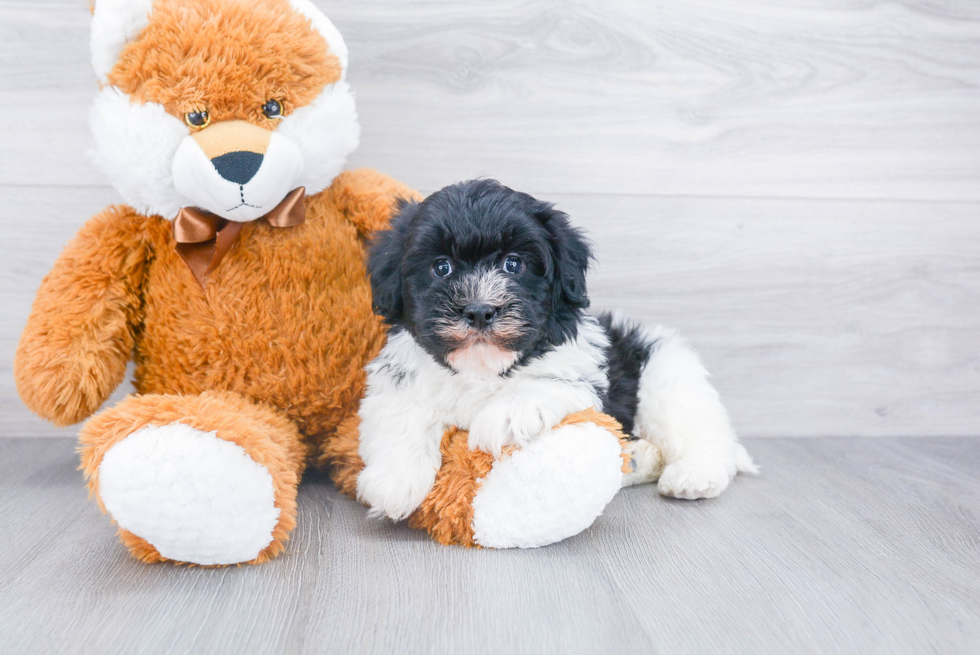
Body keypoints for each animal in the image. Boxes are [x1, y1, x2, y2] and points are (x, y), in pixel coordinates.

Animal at [356, 179, 756, 524]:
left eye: (513, 264)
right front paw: (394, 483)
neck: (482, 366)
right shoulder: (397, 381)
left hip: (668, 379)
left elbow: (544, 381)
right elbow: (402, 415)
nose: (480, 310)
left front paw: (506, 414)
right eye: (441, 267)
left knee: (701, 434)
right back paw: (635, 461)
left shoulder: (578, 368)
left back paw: (693, 475)